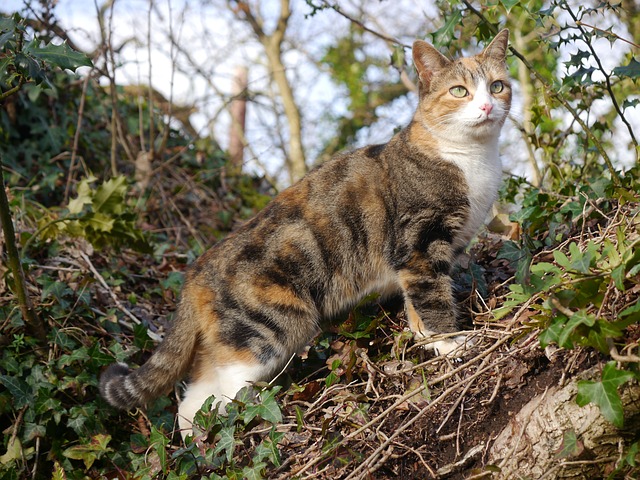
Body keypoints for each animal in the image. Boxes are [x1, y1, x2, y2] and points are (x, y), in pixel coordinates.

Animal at [99, 28, 510, 436]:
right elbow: (433, 300)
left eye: (497, 86)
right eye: (459, 91)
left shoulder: (423, 257)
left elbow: (418, 309)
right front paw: (453, 345)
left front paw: (429, 341)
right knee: (233, 385)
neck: (472, 160)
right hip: (271, 328)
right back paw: (260, 420)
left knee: (194, 398)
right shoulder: (420, 243)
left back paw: (202, 439)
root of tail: (197, 270)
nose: (487, 107)